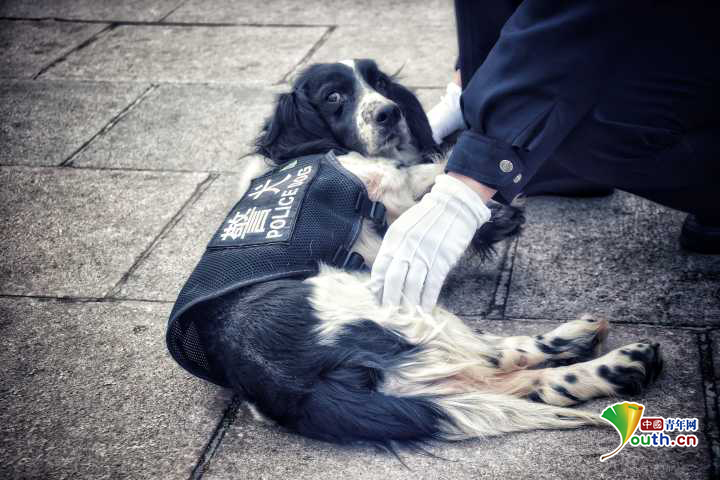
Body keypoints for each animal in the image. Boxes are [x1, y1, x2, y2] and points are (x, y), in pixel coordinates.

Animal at [194, 59, 660, 446]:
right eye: (334, 96)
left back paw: (606, 363)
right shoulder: (379, 181)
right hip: (391, 305)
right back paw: (614, 355)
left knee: (520, 383)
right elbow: (425, 174)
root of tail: (292, 387)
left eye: (381, 83)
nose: (388, 113)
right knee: (501, 357)